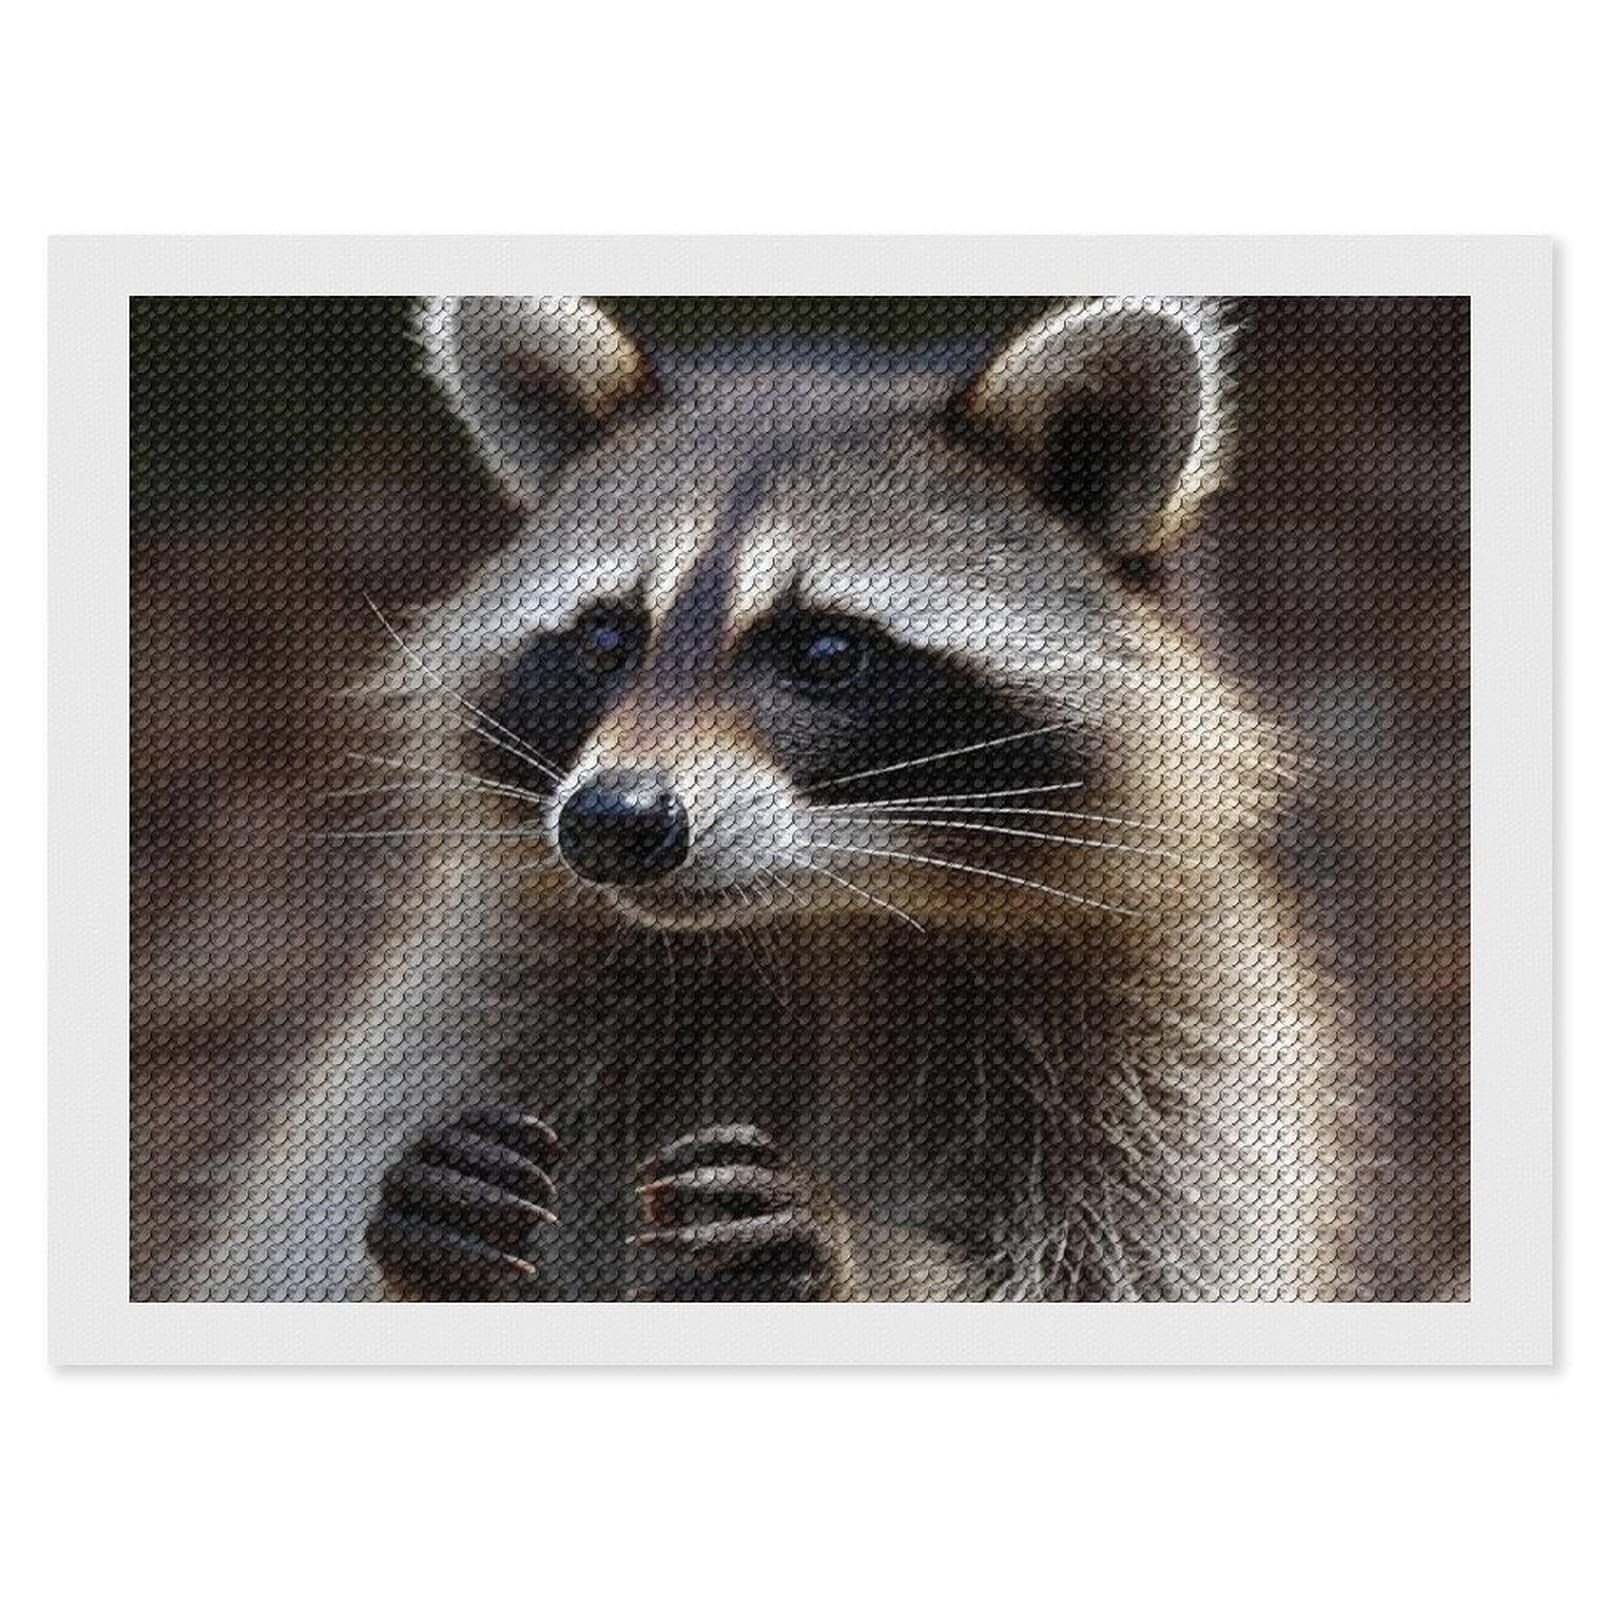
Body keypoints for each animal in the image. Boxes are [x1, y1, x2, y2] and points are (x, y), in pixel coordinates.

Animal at [184, 294, 1424, 1303]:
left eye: (825, 650)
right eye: (605, 637)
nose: (613, 823)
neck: (823, 925)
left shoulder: (1184, 1043)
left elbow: (1134, 1268)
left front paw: (861, 1254)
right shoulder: (475, 1003)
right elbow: (297, 1255)